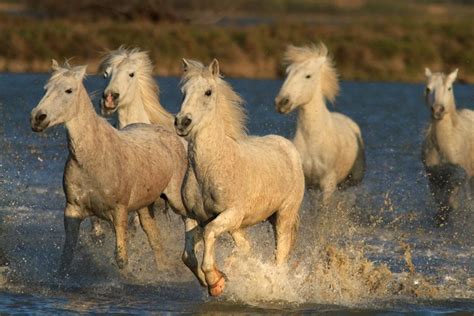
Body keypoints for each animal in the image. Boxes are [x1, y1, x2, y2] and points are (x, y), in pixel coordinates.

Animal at [29, 61, 188, 274]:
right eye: (46, 89)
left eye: (69, 90)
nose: (38, 118)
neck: (94, 158)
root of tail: (170, 134)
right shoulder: (72, 211)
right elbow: (66, 257)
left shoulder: (119, 212)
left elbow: (121, 258)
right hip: (145, 207)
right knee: (154, 238)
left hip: (175, 198)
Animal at [175, 58, 304, 296]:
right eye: (183, 92)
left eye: (208, 92)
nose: (182, 122)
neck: (209, 168)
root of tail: (288, 146)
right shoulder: (192, 216)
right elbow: (187, 254)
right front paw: (214, 281)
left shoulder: (231, 214)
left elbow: (209, 234)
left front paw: (216, 281)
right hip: (248, 223)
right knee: (245, 247)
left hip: (283, 216)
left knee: (279, 257)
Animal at [272, 43, 364, 204]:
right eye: (288, 73)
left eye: (308, 76)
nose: (282, 103)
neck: (313, 140)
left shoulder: (328, 182)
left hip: (351, 181)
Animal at [422, 68, 474, 225]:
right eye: (428, 88)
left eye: (449, 88)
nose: (438, 110)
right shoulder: (433, 176)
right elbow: (439, 201)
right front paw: (440, 218)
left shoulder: (458, 177)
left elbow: (449, 201)